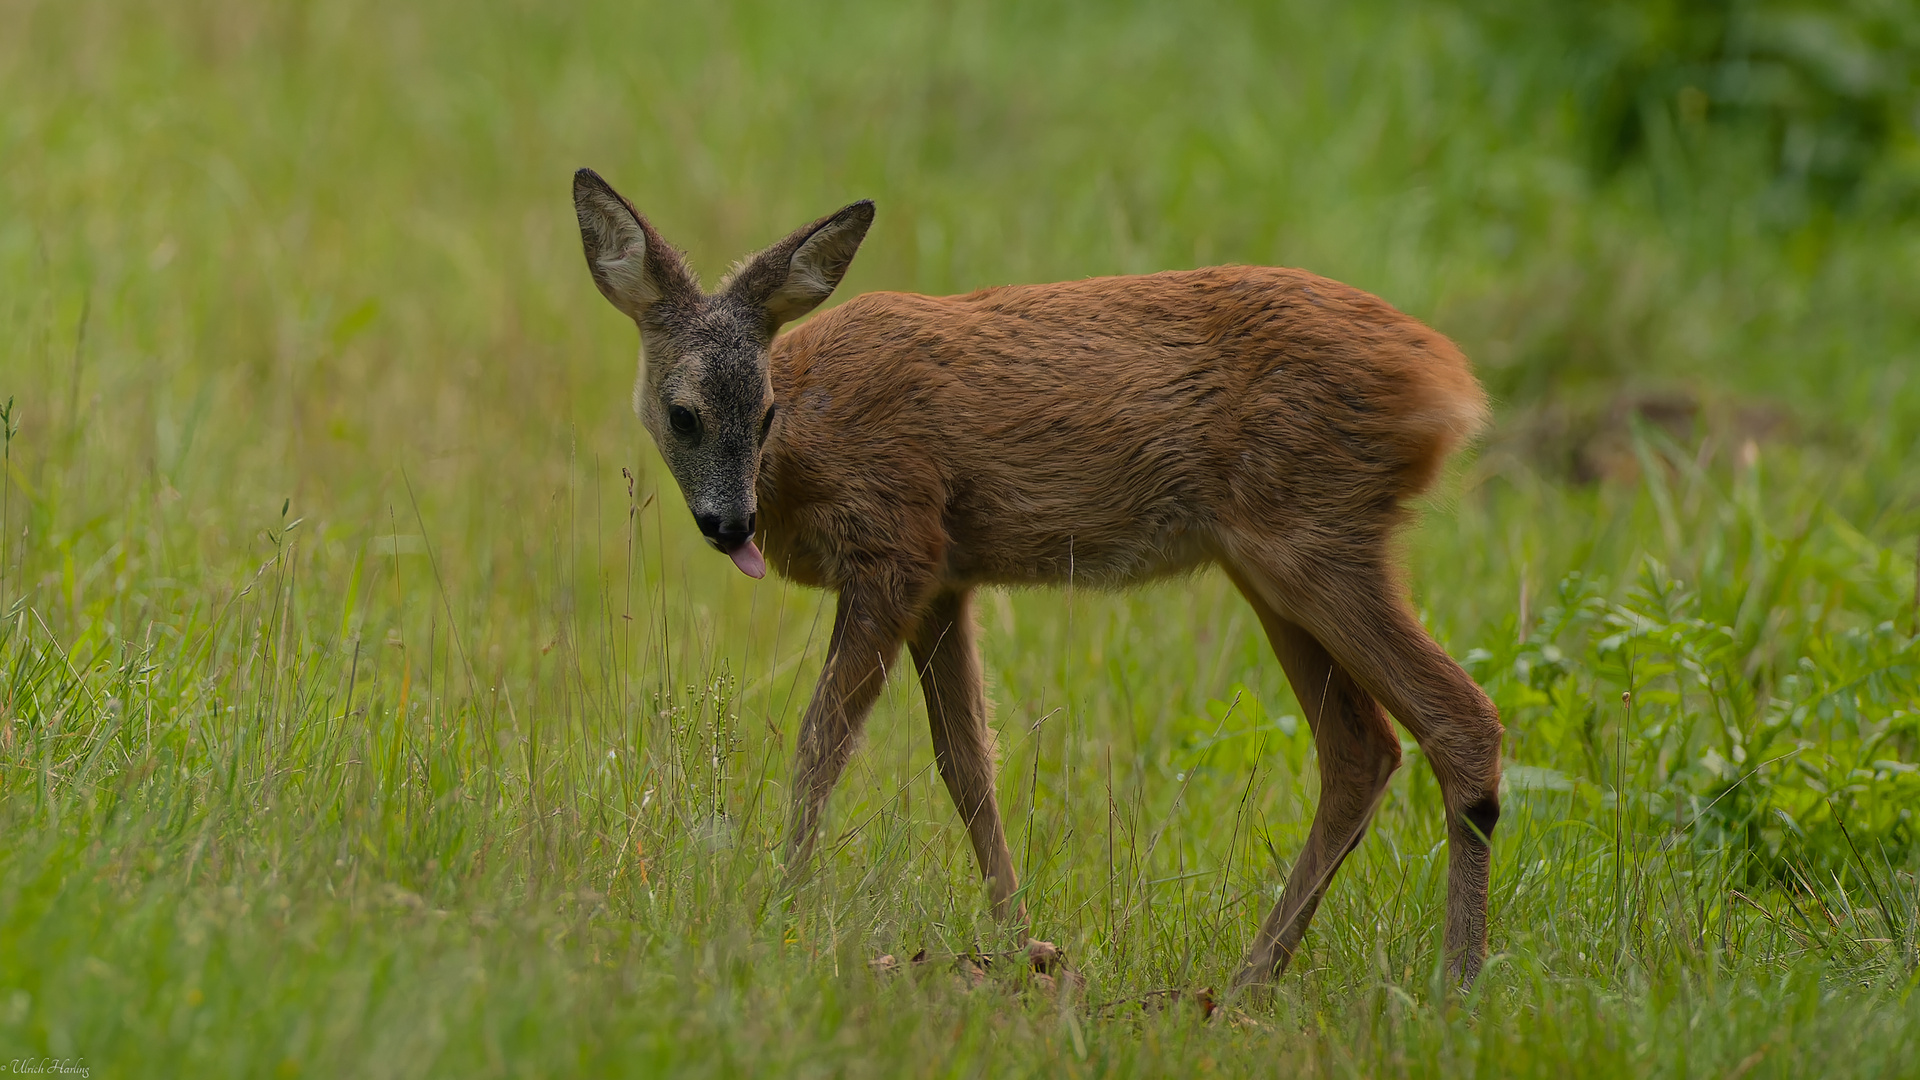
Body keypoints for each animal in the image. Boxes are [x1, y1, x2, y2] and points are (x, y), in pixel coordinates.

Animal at [576, 168, 1505, 983]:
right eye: (683, 414)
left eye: (765, 411)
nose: (730, 525)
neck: (808, 439)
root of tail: (1453, 387)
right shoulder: (946, 578)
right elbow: (967, 766)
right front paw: (1021, 943)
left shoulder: (894, 543)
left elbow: (822, 744)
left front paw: (782, 909)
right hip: (1273, 566)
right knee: (1361, 749)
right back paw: (1250, 980)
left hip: (1315, 537)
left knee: (1461, 718)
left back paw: (1454, 985)